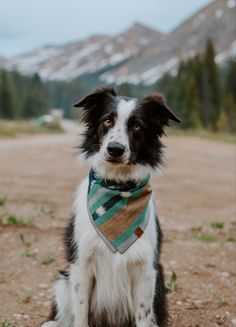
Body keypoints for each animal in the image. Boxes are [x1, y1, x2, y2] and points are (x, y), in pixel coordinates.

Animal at [41, 87, 181, 327]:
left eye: (137, 125)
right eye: (107, 120)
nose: (115, 149)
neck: (118, 186)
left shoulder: (146, 270)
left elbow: (143, 316)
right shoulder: (81, 265)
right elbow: (80, 314)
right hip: (63, 280)